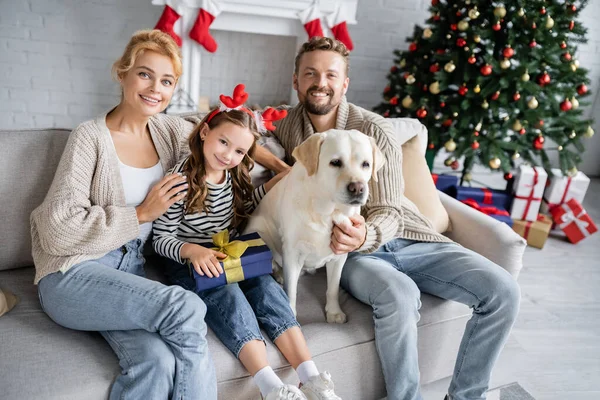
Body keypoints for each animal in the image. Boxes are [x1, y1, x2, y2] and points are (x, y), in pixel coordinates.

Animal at [246, 130, 382, 324]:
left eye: (366, 164)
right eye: (335, 162)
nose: (357, 188)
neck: (327, 212)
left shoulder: (339, 255)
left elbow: (333, 287)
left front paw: (333, 312)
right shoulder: (293, 254)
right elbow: (291, 292)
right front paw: (292, 312)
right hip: (259, 232)